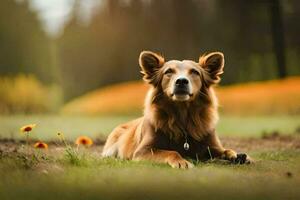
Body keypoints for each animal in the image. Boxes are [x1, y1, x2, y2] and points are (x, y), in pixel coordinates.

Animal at [102, 50, 252, 168]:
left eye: (195, 72)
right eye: (168, 72)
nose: (181, 81)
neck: (182, 116)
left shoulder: (212, 145)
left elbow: (226, 150)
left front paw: (237, 156)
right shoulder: (142, 151)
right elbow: (171, 151)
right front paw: (182, 161)